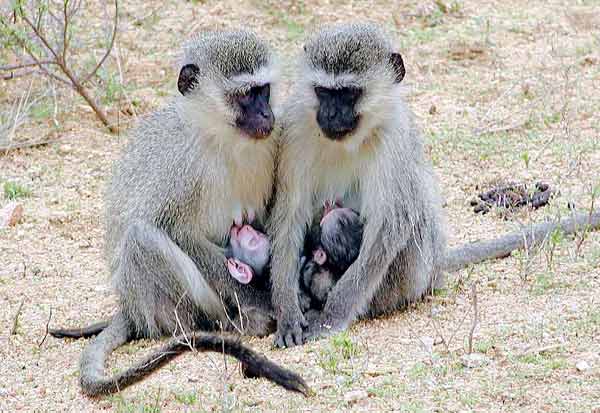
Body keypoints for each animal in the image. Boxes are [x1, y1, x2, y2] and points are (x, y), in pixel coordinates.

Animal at [51, 30, 310, 394]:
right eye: (246, 96)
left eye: (264, 91)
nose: (266, 116)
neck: (221, 137)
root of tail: (129, 306)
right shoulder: (181, 166)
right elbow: (177, 231)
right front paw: (260, 300)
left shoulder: (273, 143)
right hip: (155, 301)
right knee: (142, 238)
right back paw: (232, 321)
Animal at [270, 21, 600, 344]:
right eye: (323, 92)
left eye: (350, 94)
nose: (330, 115)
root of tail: (437, 265)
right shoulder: (296, 125)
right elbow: (288, 215)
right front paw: (288, 312)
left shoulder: (396, 134)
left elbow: (391, 224)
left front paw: (333, 315)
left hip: (412, 275)